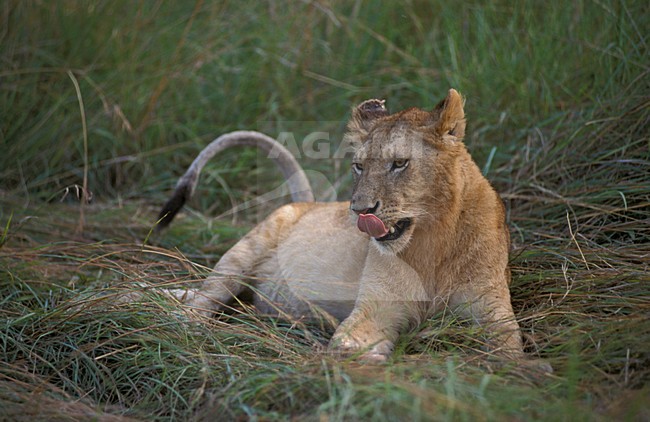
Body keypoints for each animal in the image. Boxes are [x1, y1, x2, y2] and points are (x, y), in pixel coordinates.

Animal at [156, 89, 549, 369]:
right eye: (359, 166)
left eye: (399, 163)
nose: (360, 211)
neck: (432, 242)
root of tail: (310, 202)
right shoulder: (376, 307)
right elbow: (352, 343)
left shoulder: (491, 309)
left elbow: (508, 351)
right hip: (244, 252)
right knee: (202, 300)